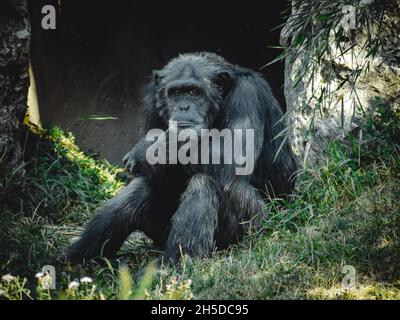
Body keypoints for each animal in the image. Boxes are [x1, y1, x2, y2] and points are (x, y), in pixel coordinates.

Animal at [64, 52, 296, 262]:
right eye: (175, 92)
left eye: (194, 91)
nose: (184, 106)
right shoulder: (152, 103)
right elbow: (159, 176)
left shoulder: (246, 95)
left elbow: (231, 154)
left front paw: (146, 148)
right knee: (139, 189)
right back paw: (74, 259)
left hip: (255, 227)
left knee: (207, 180)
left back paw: (174, 264)